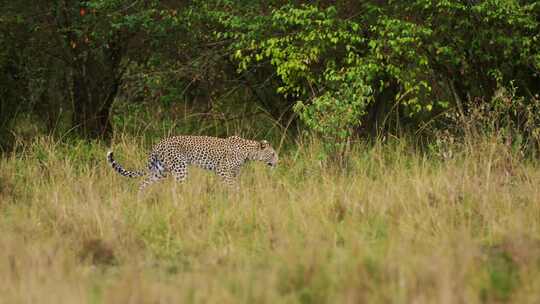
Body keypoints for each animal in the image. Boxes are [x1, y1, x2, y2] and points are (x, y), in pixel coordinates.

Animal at [106, 135, 278, 191]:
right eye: (273, 154)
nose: (278, 162)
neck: (249, 153)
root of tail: (158, 143)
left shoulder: (233, 173)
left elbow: (232, 184)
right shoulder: (223, 170)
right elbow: (232, 186)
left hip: (160, 170)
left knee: (143, 183)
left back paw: (139, 202)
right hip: (180, 167)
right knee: (177, 188)